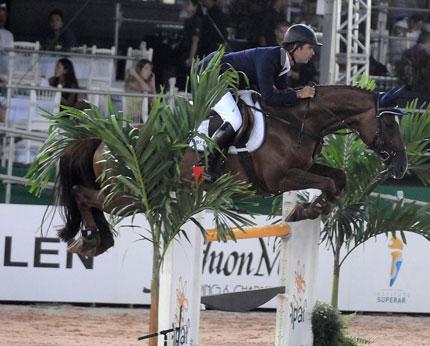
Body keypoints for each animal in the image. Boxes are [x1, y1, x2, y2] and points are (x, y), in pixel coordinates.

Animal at [55, 85, 408, 255]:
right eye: (390, 123)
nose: (402, 166)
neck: (296, 122)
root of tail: (103, 138)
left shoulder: (304, 167)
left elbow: (338, 177)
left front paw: (311, 208)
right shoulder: (280, 178)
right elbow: (328, 184)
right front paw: (307, 210)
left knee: (88, 197)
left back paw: (97, 240)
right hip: (130, 196)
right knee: (81, 193)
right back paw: (91, 241)